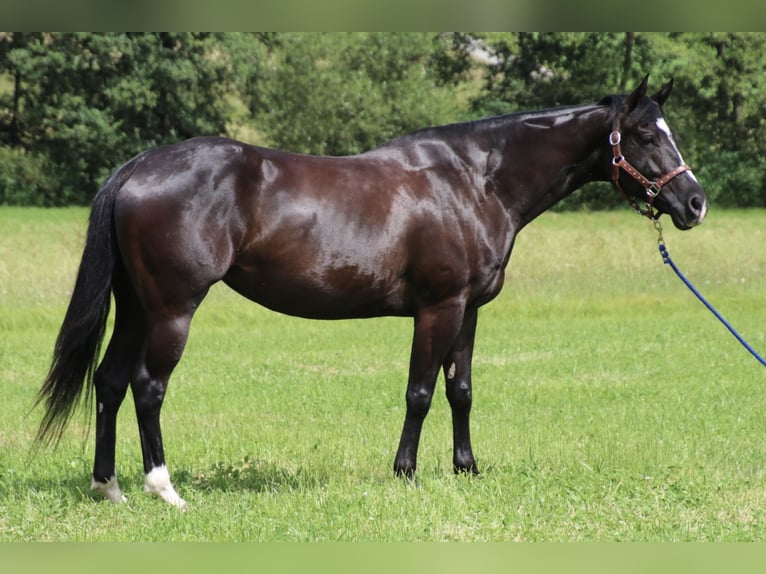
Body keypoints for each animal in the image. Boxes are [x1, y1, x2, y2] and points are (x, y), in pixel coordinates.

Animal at [36, 75, 708, 508]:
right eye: (647, 136)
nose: (695, 203)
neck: (475, 180)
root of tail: (138, 166)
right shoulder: (438, 308)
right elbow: (419, 392)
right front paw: (406, 474)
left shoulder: (468, 311)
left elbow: (460, 391)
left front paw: (467, 470)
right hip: (172, 309)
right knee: (148, 387)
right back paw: (164, 489)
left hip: (136, 307)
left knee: (109, 382)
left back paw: (109, 488)